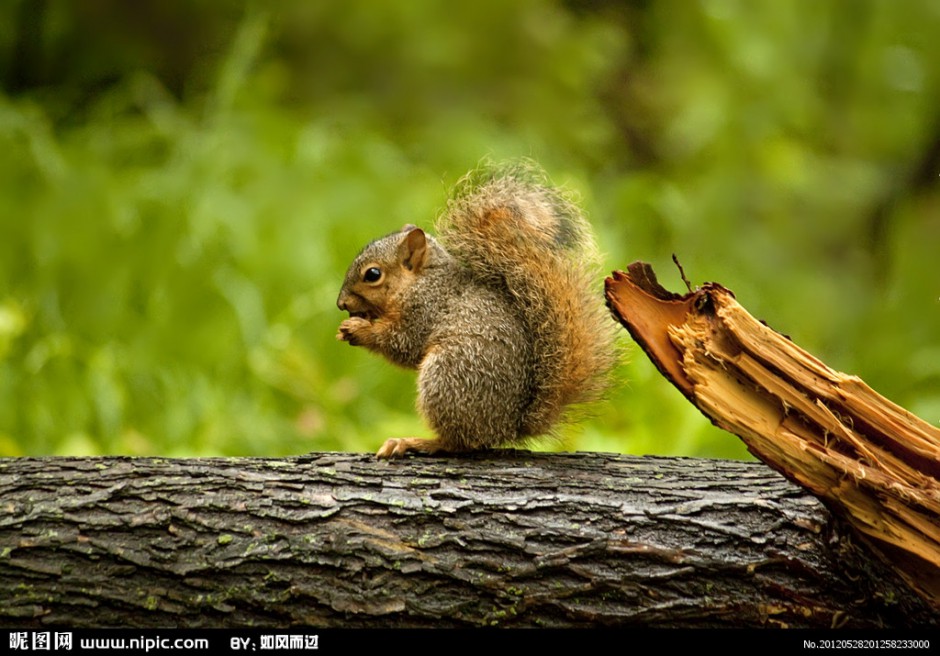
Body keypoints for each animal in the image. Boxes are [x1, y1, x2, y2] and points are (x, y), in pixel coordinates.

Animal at [336, 160, 616, 458]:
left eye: (372, 274)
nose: (341, 304)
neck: (422, 280)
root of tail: (507, 427)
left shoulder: (425, 310)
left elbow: (402, 343)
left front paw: (358, 329)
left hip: (447, 376)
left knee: (458, 442)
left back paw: (415, 442)